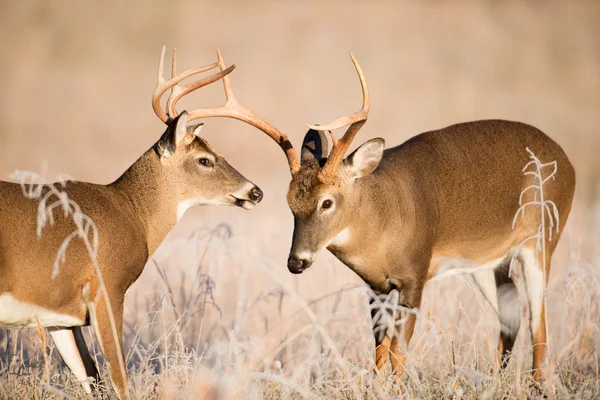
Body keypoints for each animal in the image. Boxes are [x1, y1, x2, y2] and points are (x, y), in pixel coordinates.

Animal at [0, 47, 296, 400]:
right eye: (205, 159)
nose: (256, 191)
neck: (130, 213)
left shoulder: (59, 313)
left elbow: (92, 379)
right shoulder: (107, 287)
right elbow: (119, 379)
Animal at [268, 54, 576, 388]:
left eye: (327, 202)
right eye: (290, 202)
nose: (296, 262)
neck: (383, 223)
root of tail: (567, 163)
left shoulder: (415, 273)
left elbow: (398, 349)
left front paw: (398, 389)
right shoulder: (375, 286)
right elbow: (379, 348)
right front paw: (377, 388)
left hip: (543, 238)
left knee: (538, 321)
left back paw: (536, 385)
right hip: (485, 262)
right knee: (512, 314)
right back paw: (495, 379)